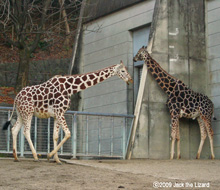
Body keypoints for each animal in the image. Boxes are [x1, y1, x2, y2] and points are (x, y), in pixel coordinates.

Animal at [3, 60, 133, 163]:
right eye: (122, 71)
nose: (131, 80)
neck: (71, 88)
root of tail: (16, 97)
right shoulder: (60, 112)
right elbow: (68, 133)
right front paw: (50, 155)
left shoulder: (57, 114)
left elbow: (55, 136)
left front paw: (56, 159)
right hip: (28, 112)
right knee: (26, 131)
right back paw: (35, 156)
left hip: (21, 113)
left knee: (14, 129)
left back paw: (16, 157)